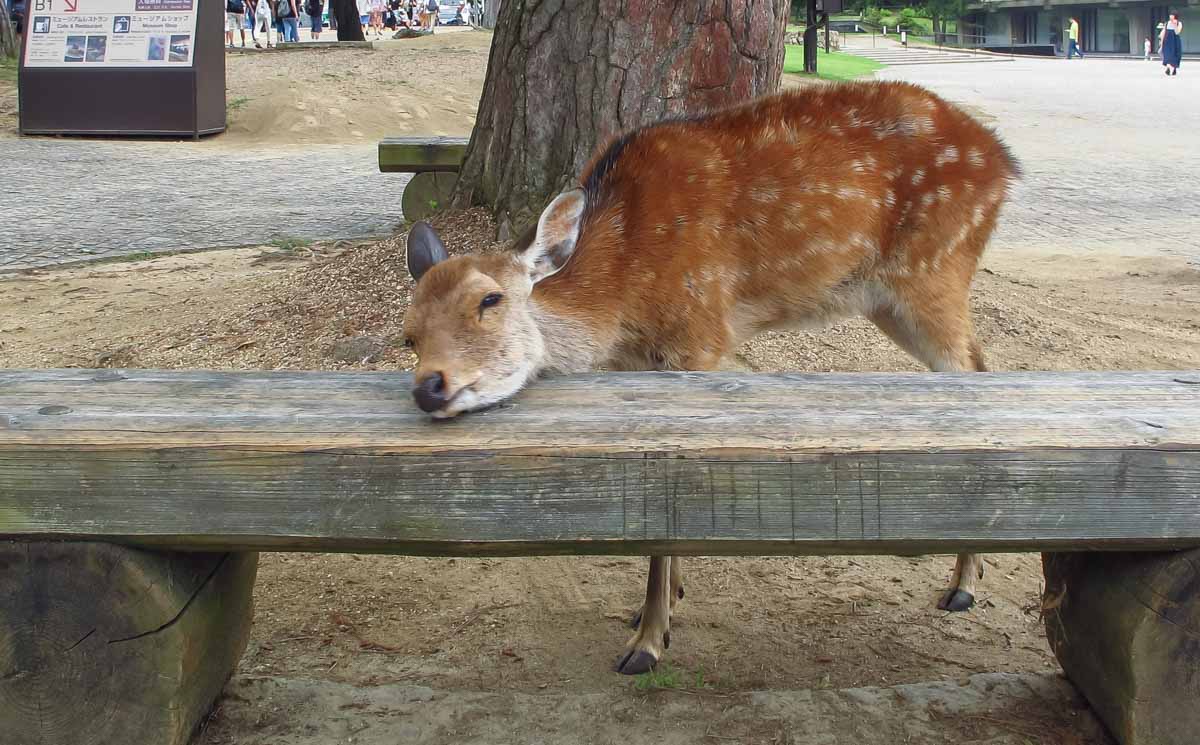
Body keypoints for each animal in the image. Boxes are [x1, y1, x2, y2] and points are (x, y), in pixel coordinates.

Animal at [398, 79, 1017, 671]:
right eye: (409, 332)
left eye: (490, 299)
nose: (429, 386)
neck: (623, 294)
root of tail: (1004, 161)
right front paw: (664, 602)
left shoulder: (698, 339)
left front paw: (648, 641)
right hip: (890, 299)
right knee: (981, 362)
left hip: (934, 269)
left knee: (973, 367)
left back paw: (962, 588)